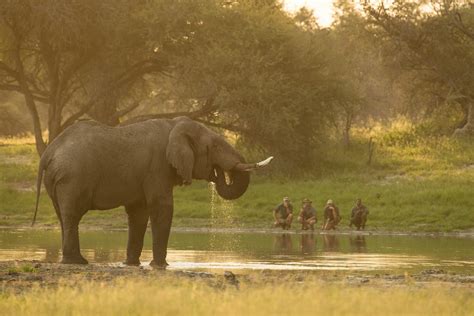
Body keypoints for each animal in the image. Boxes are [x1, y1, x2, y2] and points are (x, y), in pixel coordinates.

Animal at [32, 116, 270, 266]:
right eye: (214, 148)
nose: (218, 172)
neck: (174, 126)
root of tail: (49, 152)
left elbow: (139, 212)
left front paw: (131, 264)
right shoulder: (157, 167)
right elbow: (161, 207)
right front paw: (160, 265)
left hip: (58, 179)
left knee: (63, 216)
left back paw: (75, 260)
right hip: (72, 177)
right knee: (72, 215)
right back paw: (77, 262)